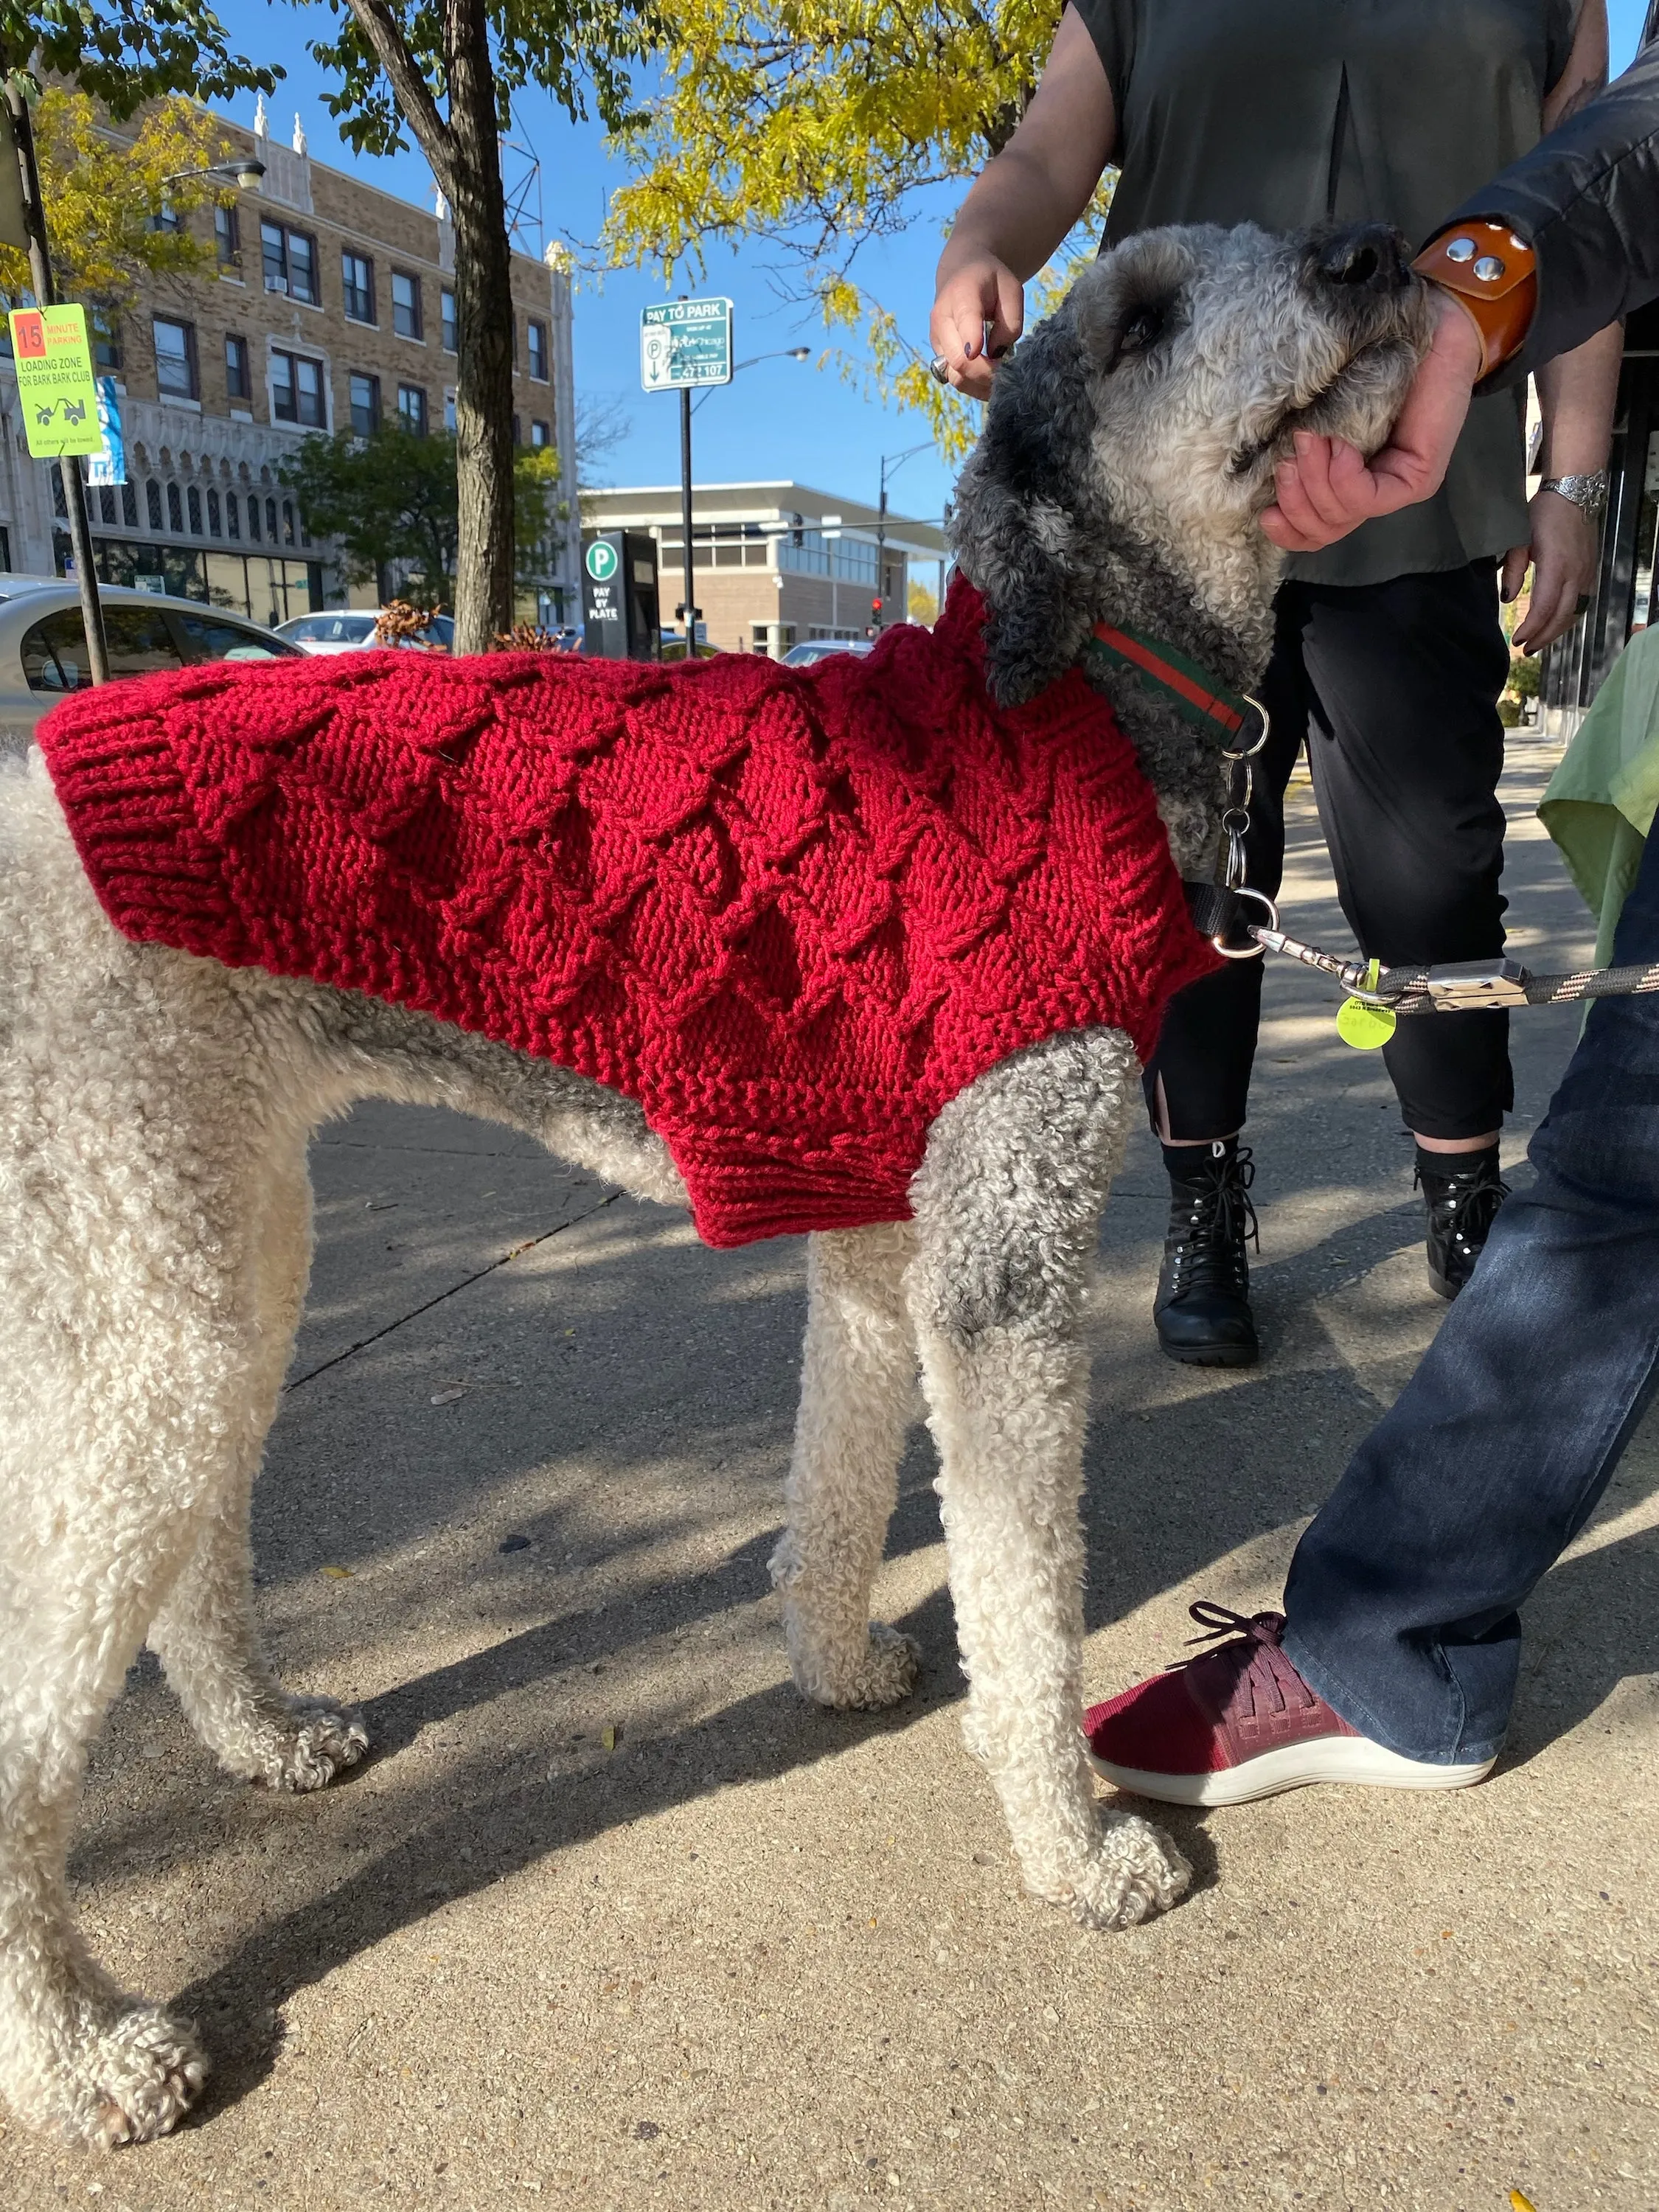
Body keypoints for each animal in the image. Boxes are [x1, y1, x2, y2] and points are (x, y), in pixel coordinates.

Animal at [0, 220, 1433, 2141]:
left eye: (1267, 252)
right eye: (1137, 323)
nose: (1367, 252)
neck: (1073, 690)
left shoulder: (882, 1250)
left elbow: (836, 1486)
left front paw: (832, 1665)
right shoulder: (1002, 1276)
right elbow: (1026, 1605)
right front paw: (1072, 1852)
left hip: (222, 1253)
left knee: (190, 1556)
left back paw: (264, 1737)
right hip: (151, 1314)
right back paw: (84, 2053)